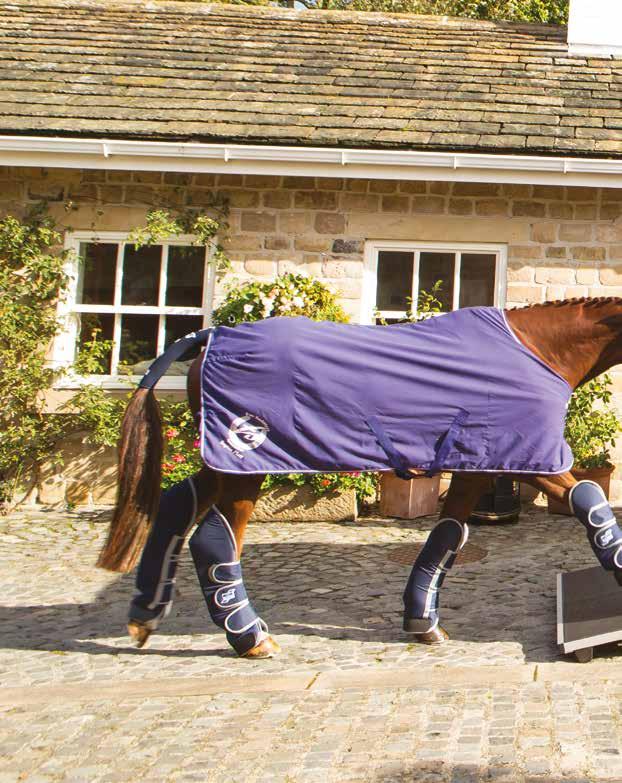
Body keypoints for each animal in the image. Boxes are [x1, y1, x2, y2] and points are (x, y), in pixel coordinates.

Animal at [98, 298, 622, 660]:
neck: (537, 350)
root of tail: (210, 336)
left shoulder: (481, 467)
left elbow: (447, 535)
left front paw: (421, 621)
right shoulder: (531, 461)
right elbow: (590, 502)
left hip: (225, 464)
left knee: (175, 503)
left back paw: (145, 615)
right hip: (248, 461)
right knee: (215, 535)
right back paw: (249, 637)